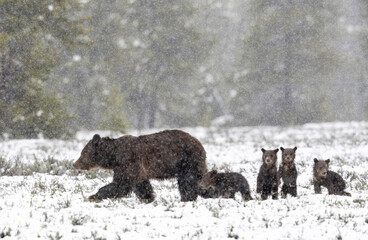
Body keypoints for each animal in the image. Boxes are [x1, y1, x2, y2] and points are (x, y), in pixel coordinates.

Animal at [73, 129, 208, 202]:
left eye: (82, 152)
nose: (75, 164)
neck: (114, 157)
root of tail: (200, 143)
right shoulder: (134, 169)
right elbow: (141, 185)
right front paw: (148, 198)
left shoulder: (129, 162)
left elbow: (121, 184)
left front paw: (92, 196)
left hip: (188, 160)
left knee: (188, 181)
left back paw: (187, 198)